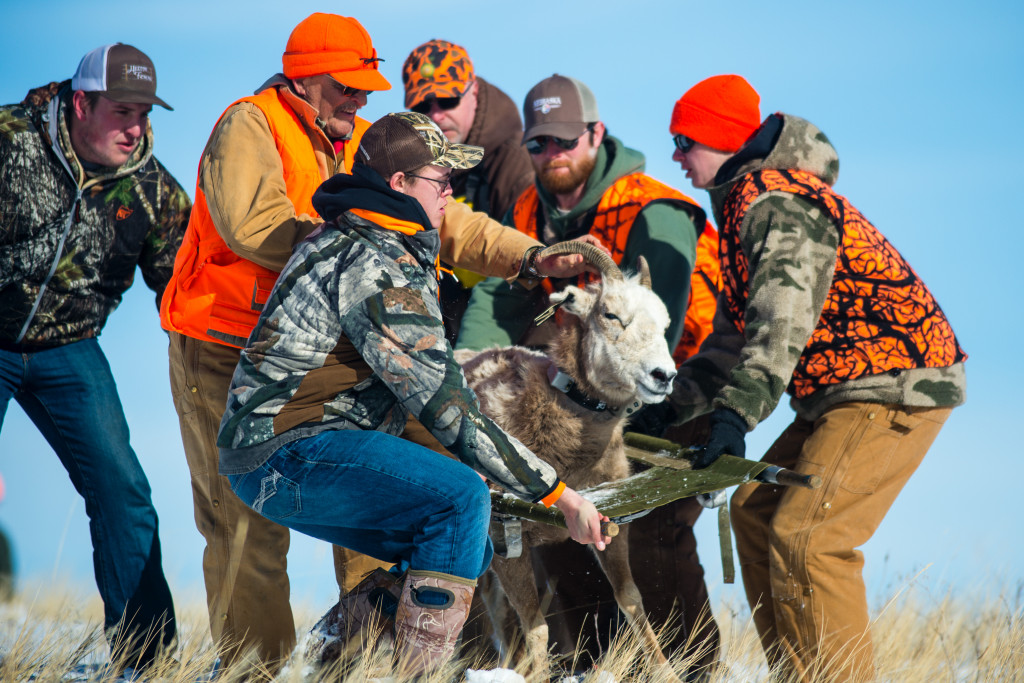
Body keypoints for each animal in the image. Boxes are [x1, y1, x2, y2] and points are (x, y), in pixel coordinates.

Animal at [458, 240, 679, 679]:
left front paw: (669, 673)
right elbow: (536, 627)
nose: (664, 376)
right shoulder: (508, 542)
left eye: (664, 324)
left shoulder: (612, 529)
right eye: (610, 314)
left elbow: (632, 600)